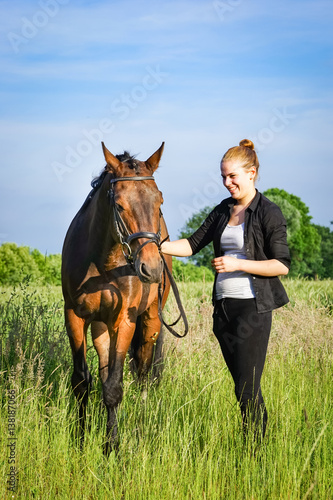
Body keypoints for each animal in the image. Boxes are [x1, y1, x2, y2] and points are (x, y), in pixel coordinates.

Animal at [61, 141, 174, 454]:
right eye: (120, 204)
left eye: (160, 202)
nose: (151, 268)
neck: (103, 262)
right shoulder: (74, 317)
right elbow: (83, 381)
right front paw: (81, 439)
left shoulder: (125, 321)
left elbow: (114, 386)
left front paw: (111, 446)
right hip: (101, 327)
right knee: (105, 369)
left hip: (150, 322)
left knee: (144, 372)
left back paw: (142, 420)